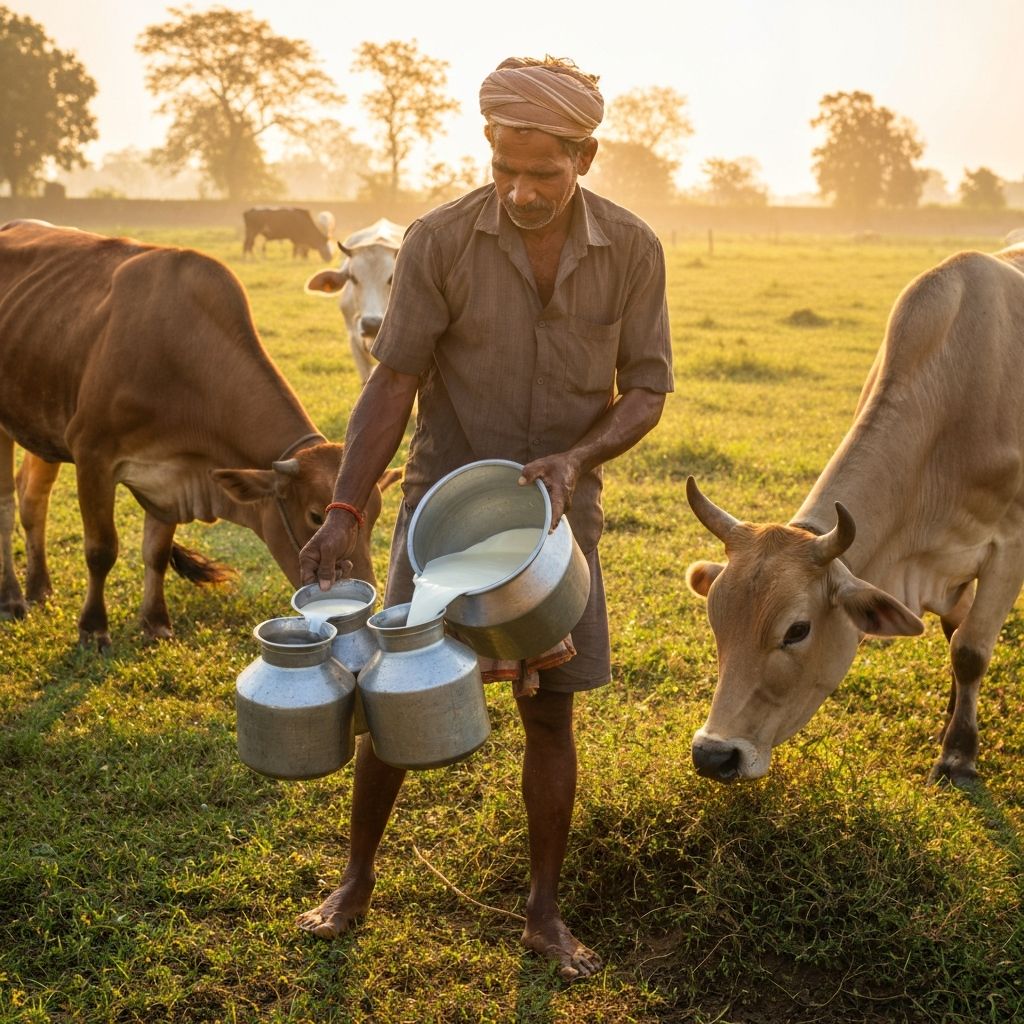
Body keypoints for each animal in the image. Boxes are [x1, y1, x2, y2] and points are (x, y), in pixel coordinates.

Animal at [0, 220, 394, 649]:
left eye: (374, 516)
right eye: (314, 515)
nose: (367, 600)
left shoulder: (170, 477)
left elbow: (156, 551)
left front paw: (155, 623)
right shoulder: (92, 455)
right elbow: (101, 550)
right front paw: (93, 628)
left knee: (33, 499)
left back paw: (39, 588)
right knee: (7, 507)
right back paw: (12, 598)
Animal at [685, 243, 1024, 788]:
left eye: (797, 630)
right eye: (716, 618)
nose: (714, 755)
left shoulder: (1009, 547)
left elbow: (970, 650)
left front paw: (958, 755)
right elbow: (957, 636)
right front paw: (950, 726)